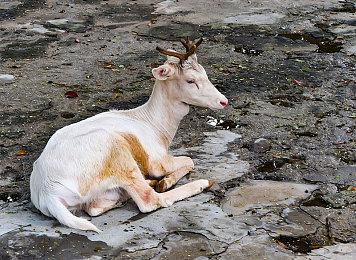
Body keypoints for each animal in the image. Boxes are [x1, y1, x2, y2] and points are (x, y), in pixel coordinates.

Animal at [29, 37, 228, 232]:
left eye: (205, 73)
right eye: (190, 80)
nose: (223, 101)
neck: (156, 127)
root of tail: (48, 193)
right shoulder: (155, 160)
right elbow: (189, 160)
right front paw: (165, 181)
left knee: (94, 208)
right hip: (116, 152)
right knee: (150, 200)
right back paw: (200, 183)